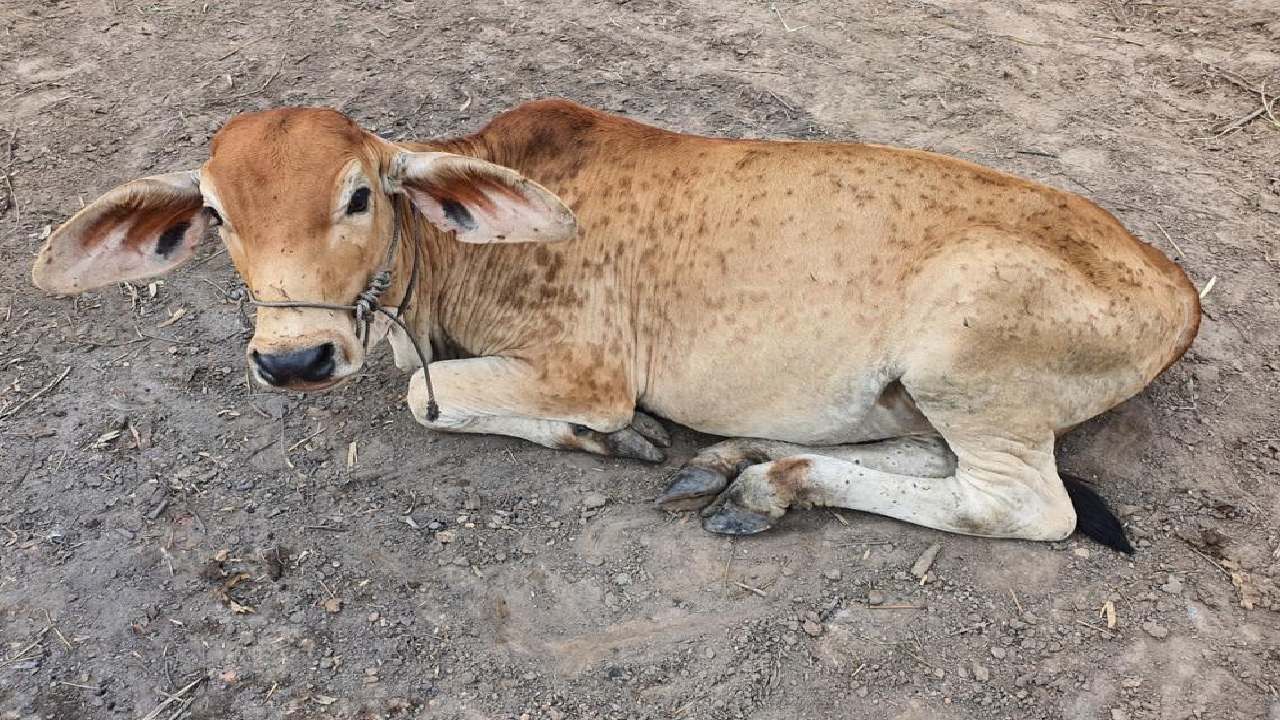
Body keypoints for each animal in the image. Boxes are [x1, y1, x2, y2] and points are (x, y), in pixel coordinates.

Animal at [35, 99, 1203, 548]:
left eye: (360, 194)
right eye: (215, 214)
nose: (294, 357)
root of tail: (1179, 290)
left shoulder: (584, 364)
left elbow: (422, 397)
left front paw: (605, 435)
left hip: (969, 363)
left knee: (1017, 505)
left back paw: (758, 480)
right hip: (920, 393)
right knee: (924, 457)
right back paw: (747, 465)